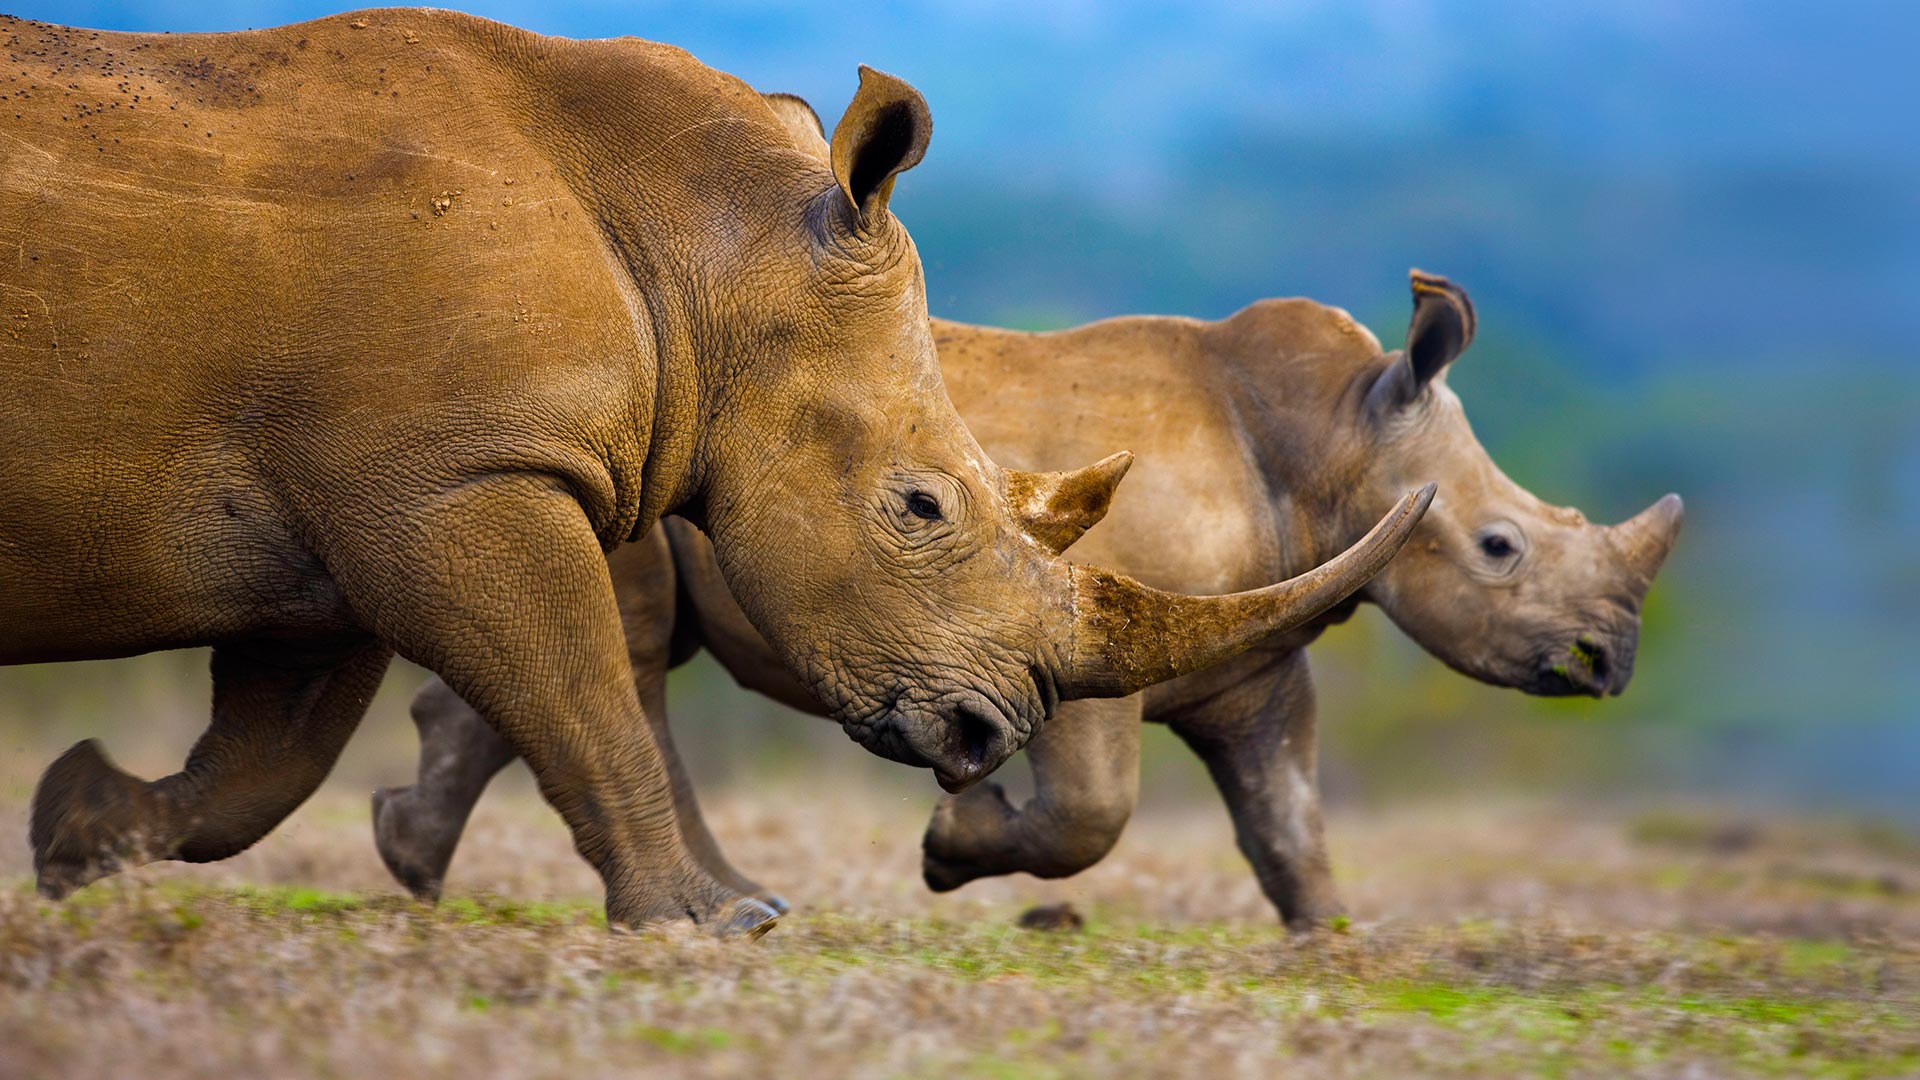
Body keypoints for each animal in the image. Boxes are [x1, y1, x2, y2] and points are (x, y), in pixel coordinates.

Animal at [0, 12, 1428, 930]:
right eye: (922, 506)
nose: (991, 735)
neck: (710, 247)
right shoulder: (456, 480)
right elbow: (577, 689)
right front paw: (709, 930)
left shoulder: (355, 493)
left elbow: (265, 759)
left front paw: (78, 831)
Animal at [366, 267, 1674, 914]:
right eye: (1500, 547)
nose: (1608, 664)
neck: (1335, 440)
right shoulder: (1089, 633)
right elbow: (1094, 815)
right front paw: (951, 852)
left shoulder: (1255, 659)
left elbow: (1289, 820)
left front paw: (1335, 956)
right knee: (624, 644)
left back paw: (409, 863)